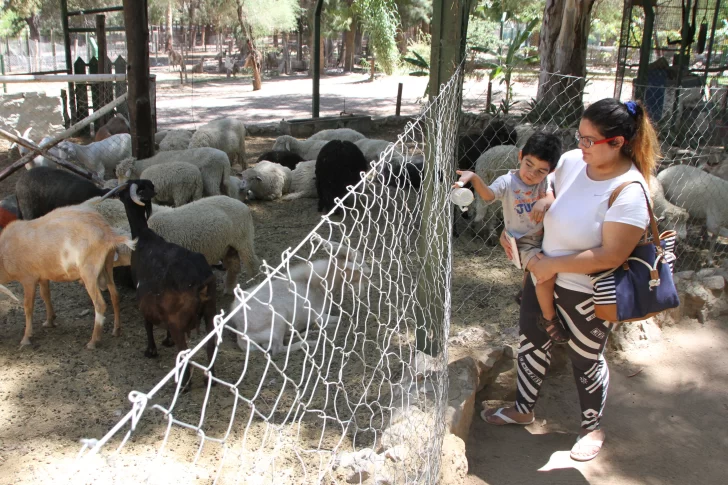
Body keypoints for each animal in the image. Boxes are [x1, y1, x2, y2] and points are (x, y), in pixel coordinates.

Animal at [0, 204, 136, 348]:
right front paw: (50, 321)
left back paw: (93, 341)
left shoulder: (28, 279)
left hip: (89, 271)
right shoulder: (43, 275)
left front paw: (26, 338)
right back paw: (116, 330)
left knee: (100, 304)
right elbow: (46, 295)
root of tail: (108, 234)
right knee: (115, 295)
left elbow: (28, 306)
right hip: (107, 265)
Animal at [116, 179, 216, 390]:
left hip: (178, 319)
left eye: (126, 188)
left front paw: (151, 350)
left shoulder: (143, 298)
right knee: (211, 343)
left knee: (184, 350)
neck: (143, 237)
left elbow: (147, 323)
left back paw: (184, 384)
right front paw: (166, 341)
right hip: (210, 310)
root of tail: (200, 281)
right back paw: (209, 377)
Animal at [230, 241, 370, 356]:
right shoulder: (318, 315)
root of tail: (240, 332)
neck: (315, 284)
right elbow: (339, 319)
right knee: (277, 349)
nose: (369, 273)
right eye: (357, 265)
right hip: (278, 321)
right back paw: (308, 343)